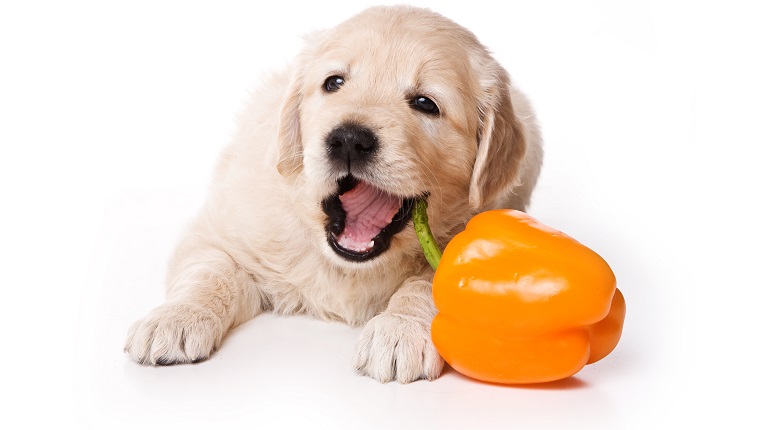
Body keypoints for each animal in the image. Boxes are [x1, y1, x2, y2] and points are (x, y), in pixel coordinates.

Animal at [123, 5, 540, 382]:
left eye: (426, 103)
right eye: (334, 83)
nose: (350, 140)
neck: (346, 266)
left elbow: (428, 282)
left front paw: (399, 328)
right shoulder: (220, 231)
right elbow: (210, 271)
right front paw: (176, 318)